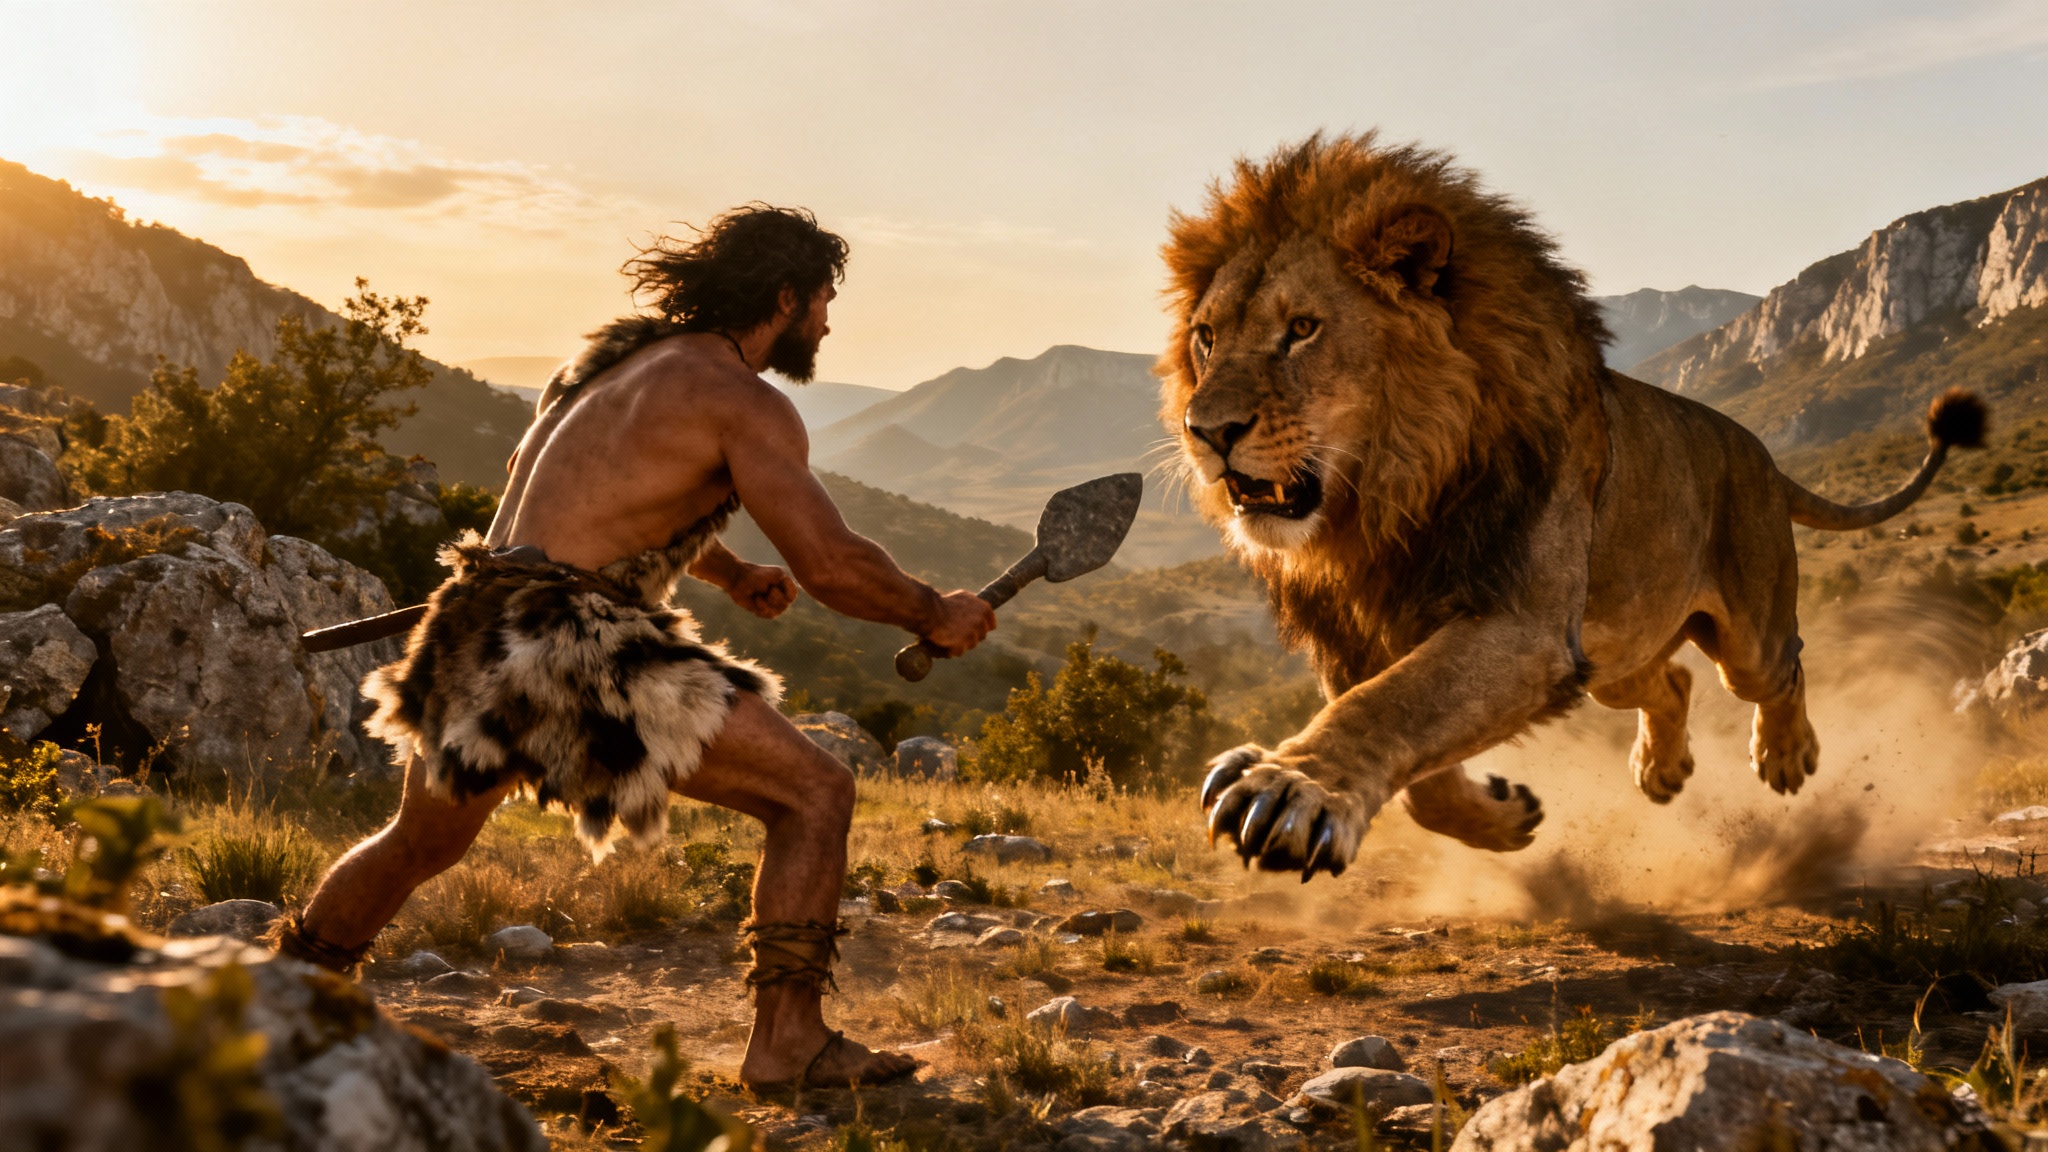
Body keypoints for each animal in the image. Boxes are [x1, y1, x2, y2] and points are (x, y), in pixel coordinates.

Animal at [1160, 133, 1986, 879]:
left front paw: (1289, 789)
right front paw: (1504, 817)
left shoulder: (1522, 627)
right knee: (1672, 683)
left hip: (1744, 633)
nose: (1206, 431)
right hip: (1615, 654)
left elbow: (1393, 704)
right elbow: (1418, 777)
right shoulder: (1358, 639)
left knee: (1781, 666)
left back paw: (1787, 755)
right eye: (1207, 337)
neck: (1389, 503)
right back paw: (1661, 771)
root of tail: (1762, 455)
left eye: (1302, 329)